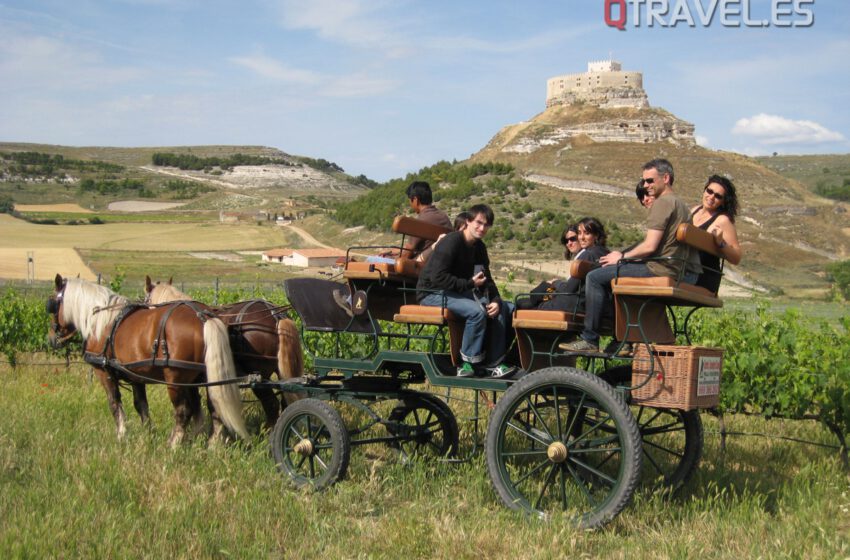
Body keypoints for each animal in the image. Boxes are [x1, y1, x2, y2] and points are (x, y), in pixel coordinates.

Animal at [46, 274, 247, 446]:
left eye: (51, 306)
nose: (51, 339)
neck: (100, 322)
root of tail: (203, 316)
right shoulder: (136, 376)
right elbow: (141, 405)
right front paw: (148, 434)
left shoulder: (104, 372)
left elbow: (114, 403)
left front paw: (121, 435)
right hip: (203, 377)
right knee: (213, 406)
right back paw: (210, 444)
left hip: (176, 379)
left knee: (183, 410)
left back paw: (173, 444)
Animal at [144, 276, 304, 428]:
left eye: (146, 300)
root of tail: (276, 315)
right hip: (281, 372)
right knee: (286, 400)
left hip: (259, 376)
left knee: (271, 404)